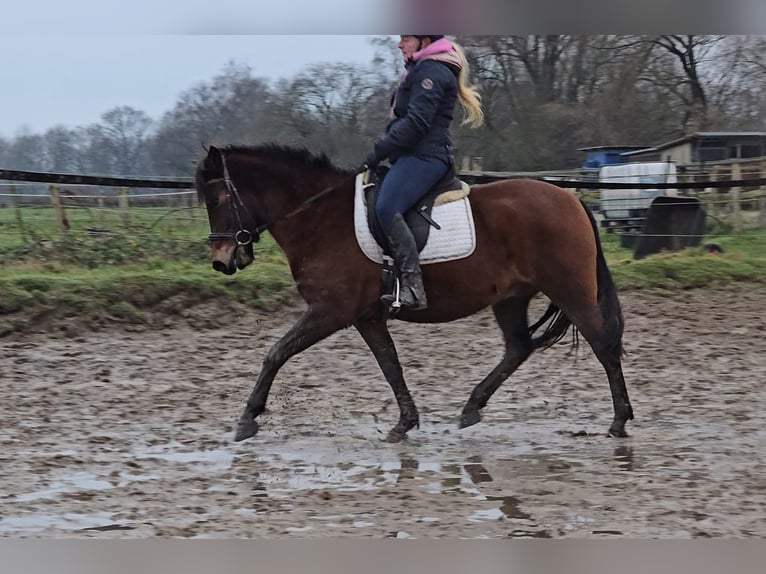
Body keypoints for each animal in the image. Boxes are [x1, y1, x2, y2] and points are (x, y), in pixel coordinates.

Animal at [196, 144, 636, 446]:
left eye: (216, 199)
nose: (221, 260)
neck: (319, 218)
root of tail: (571, 198)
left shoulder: (329, 311)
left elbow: (276, 353)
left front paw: (248, 419)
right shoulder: (366, 316)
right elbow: (391, 366)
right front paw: (405, 423)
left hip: (569, 288)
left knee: (603, 344)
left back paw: (619, 421)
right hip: (511, 296)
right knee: (518, 347)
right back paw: (471, 408)